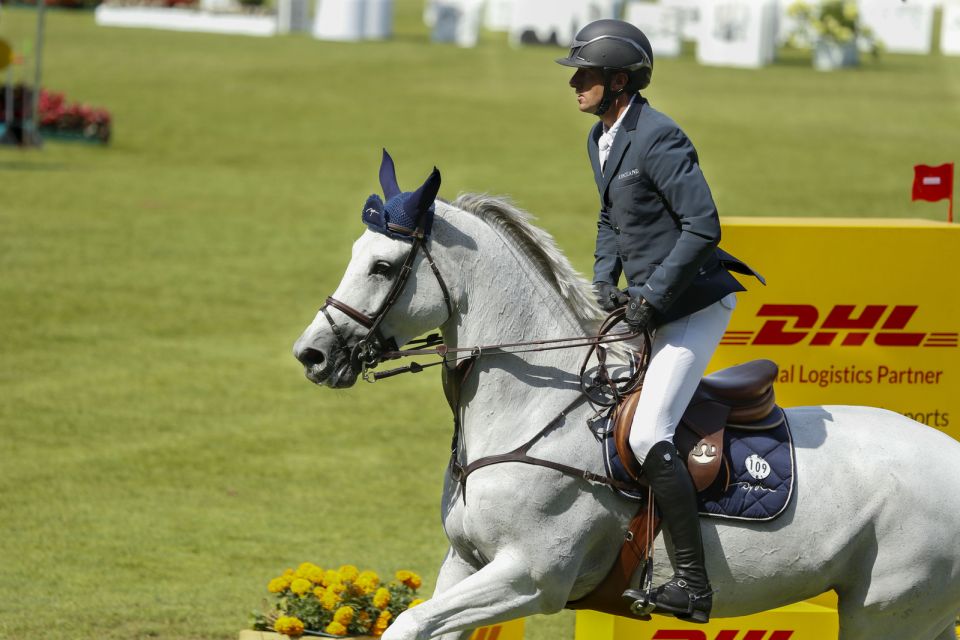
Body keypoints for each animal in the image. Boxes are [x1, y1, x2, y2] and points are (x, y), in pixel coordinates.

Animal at [292, 155, 960, 640]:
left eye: (382, 267)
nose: (312, 354)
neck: (533, 411)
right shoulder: (467, 563)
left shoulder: (530, 576)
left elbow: (408, 623)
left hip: (890, 612)